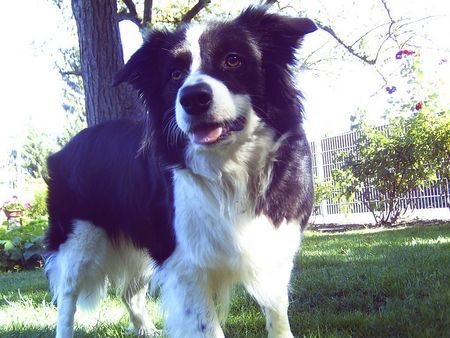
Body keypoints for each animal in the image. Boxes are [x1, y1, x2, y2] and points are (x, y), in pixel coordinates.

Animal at [44, 5, 314, 338]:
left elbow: (277, 314)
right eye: (174, 74)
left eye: (233, 59)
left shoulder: (275, 247)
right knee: (67, 296)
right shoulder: (186, 265)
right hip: (79, 239)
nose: (193, 97)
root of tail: (65, 148)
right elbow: (207, 326)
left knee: (129, 291)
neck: (228, 169)